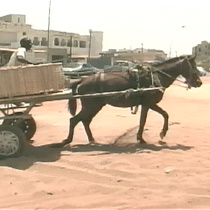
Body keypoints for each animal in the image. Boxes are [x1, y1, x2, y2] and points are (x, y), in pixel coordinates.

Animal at [55, 55, 202, 148]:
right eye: (192, 66)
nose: (199, 82)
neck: (156, 77)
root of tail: (83, 80)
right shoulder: (149, 103)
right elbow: (163, 115)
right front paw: (161, 133)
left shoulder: (146, 105)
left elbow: (145, 120)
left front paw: (141, 138)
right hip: (91, 106)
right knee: (74, 120)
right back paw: (66, 141)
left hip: (95, 106)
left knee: (85, 121)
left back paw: (92, 139)